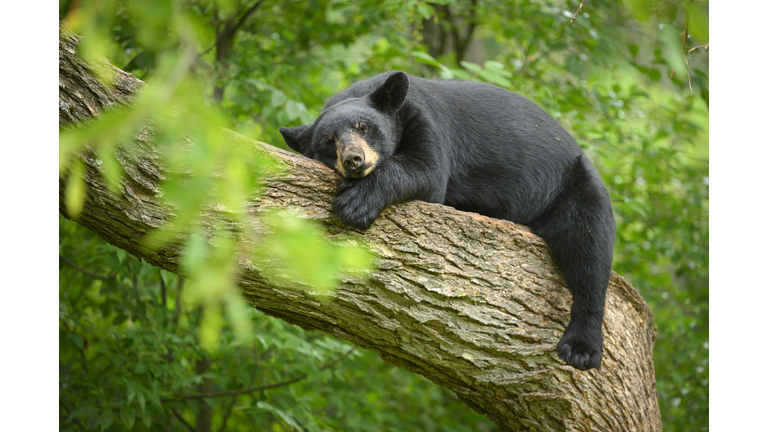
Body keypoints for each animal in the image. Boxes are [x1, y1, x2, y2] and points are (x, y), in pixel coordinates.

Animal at [280, 71, 616, 372]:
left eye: (363, 127)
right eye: (329, 141)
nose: (353, 160)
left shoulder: (426, 122)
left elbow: (427, 170)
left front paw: (356, 203)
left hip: (573, 186)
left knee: (589, 249)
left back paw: (581, 347)